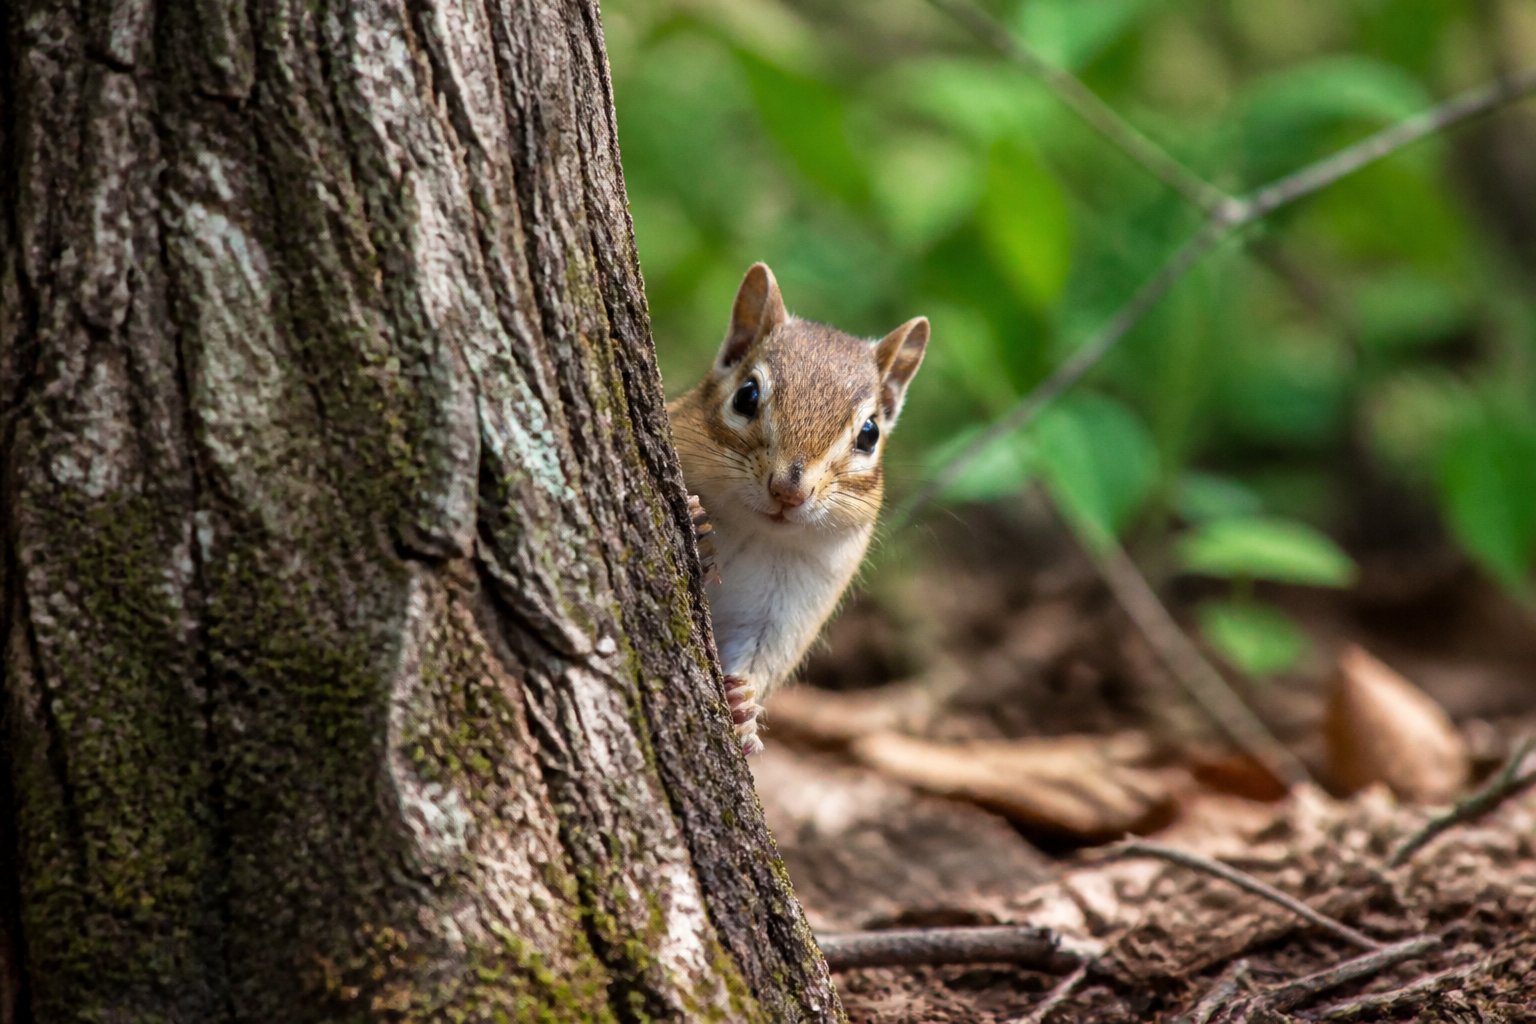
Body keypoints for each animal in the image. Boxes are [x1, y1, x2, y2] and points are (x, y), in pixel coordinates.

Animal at [667, 263, 929, 755]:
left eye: (870, 433)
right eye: (746, 396)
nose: (789, 490)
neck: (754, 531)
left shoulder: (794, 605)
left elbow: (763, 657)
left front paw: (744, 708)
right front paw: (697, 521)